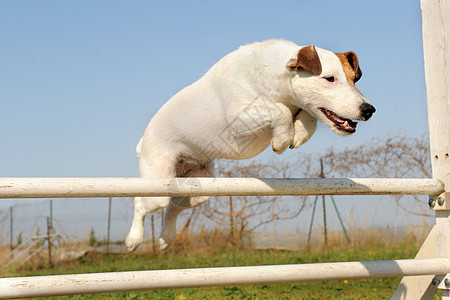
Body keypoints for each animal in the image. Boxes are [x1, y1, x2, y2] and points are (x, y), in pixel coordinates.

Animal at [125, 39, 374, 251]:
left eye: (354, 79)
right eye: (329, 79)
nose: (369, 110)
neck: (274, 78)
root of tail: (142, 143)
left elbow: (306, 115)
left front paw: (299, 133)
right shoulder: (239, 119)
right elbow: (280, 111)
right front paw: (282, 139)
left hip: (198, 189)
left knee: (173, 206)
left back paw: (165, 238)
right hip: (157, 186)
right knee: (141, 203)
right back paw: (133, 240)